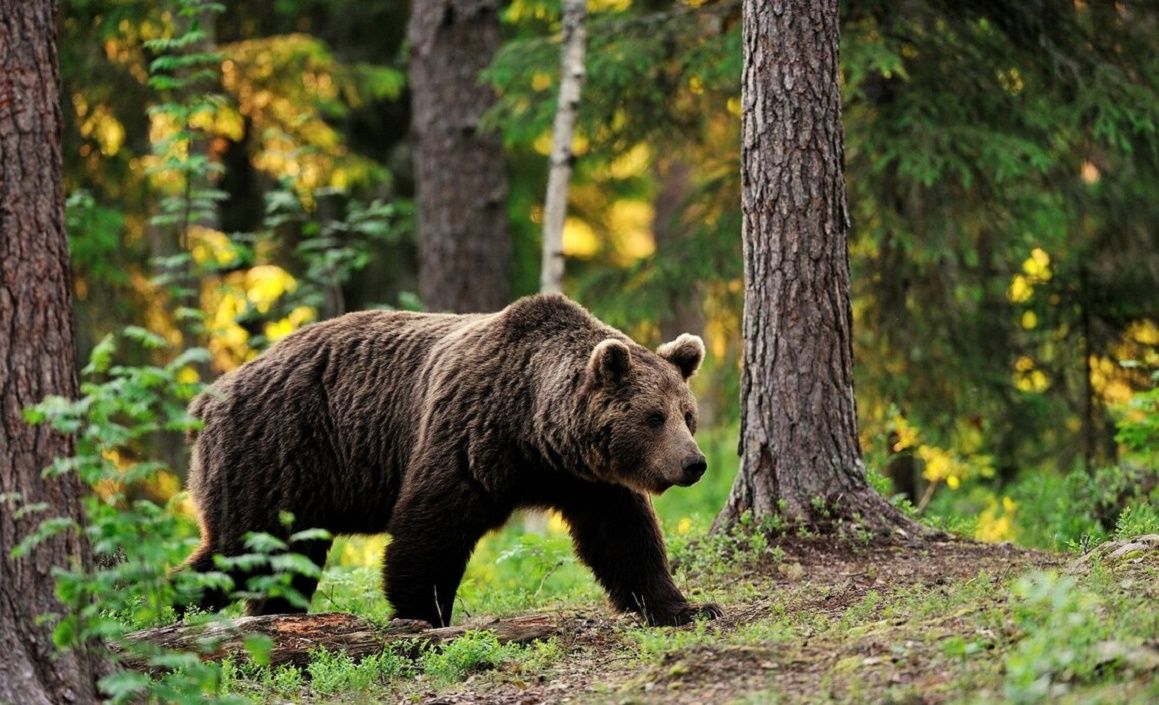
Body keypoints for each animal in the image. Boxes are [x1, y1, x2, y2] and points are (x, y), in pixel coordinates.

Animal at [184, 294, 718, 626]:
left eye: (687, 415)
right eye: (653, 417)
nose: (694, 463)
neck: (535, 430)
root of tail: (210, 396)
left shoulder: (587, 479)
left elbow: (624, 539)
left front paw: (684, 607)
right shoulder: (469, 435)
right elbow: (431, 527)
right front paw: (422, 614)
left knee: (282, 561)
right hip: (277, 453)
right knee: (242, 549)